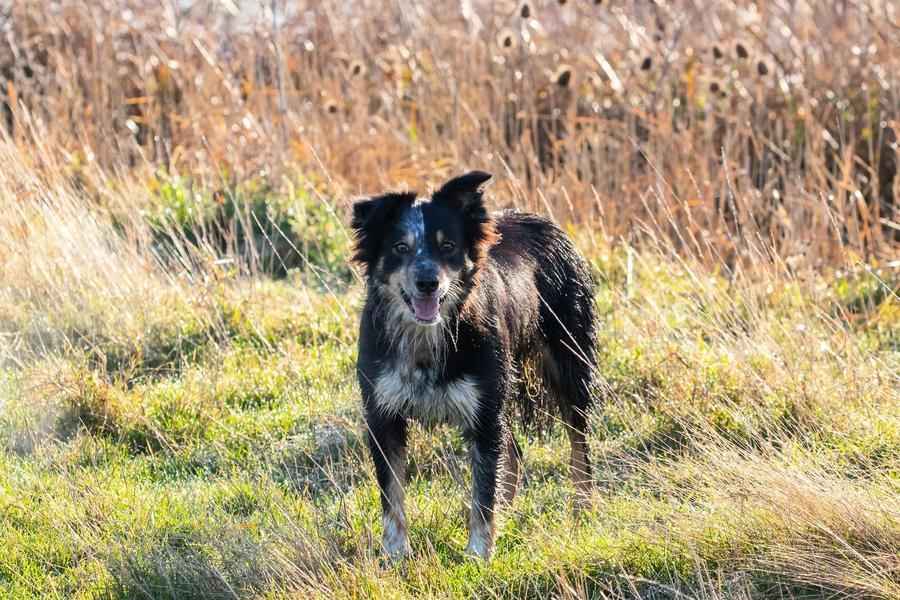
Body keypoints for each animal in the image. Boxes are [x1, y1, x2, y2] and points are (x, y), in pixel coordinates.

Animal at [352, 171, 596, 560]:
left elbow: (482, 491)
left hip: (569, 363)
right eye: (400, 248)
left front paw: (479, 555)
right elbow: (392, 495)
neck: (426, 338)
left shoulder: (483, 414)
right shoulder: (382, 414)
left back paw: (582, 506)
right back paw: (509, 511)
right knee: (514, 452)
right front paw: (395, 555)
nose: (427, 282)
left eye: (448, 246)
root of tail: (545, 222)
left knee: (579, 444)